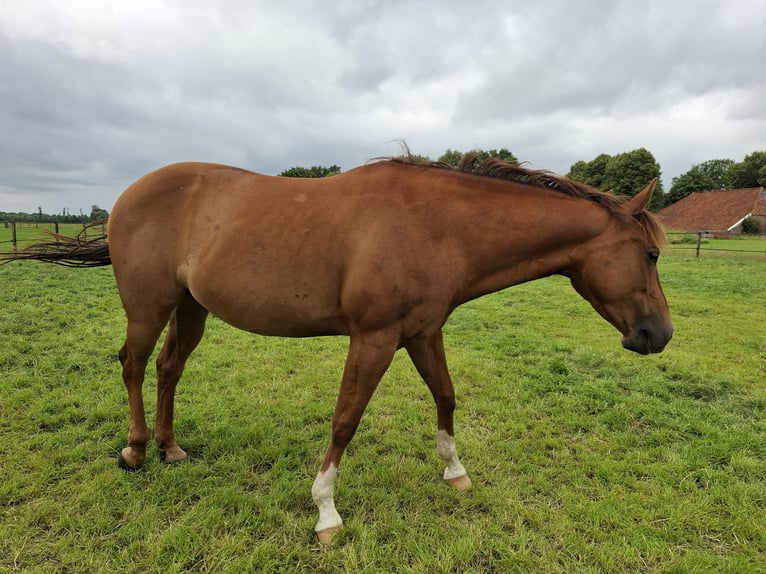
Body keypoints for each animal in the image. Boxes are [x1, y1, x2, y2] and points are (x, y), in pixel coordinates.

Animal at [2, 154, 673, 542]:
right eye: (651, 254)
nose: (658, 335)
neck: (437, 225)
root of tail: (128, 194)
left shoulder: (422, 333)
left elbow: (446, 397)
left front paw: (454, 470)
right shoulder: (373, 339)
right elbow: (346, 419)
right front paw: (326, 511)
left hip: (191, 308)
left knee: (169, 368)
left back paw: (170, 448)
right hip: (149, 307)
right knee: (135, 366)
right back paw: (137, 450)